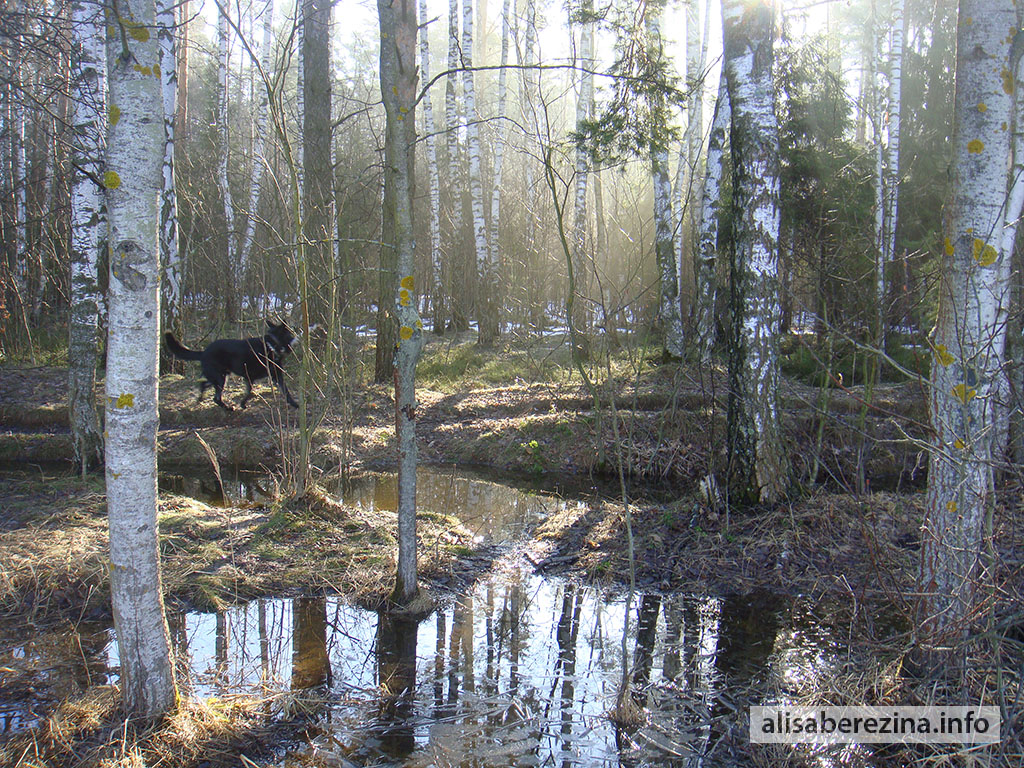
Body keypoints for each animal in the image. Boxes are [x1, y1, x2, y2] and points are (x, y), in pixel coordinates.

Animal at [164, 321, 299, 411]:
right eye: (290, 332)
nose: (298, 333)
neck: (271, 345)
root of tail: (203, 352)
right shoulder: (249, 377)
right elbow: (249, 392)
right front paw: (243, 404)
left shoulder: (276, 375)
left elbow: (286, 391)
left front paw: (294, 404)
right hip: (220, 378)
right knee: (216, 398)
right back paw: (227, 408)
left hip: (220, 376)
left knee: (203, 383)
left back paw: (200, 399)